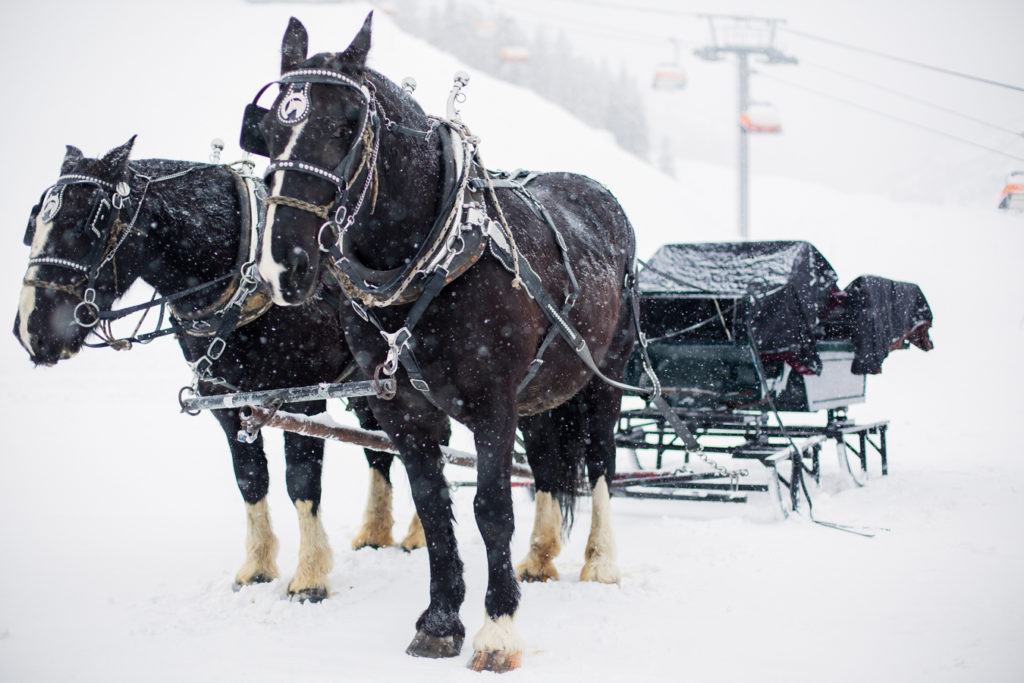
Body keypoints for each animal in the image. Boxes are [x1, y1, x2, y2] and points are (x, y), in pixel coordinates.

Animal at [16, 139, 432, 602]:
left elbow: (301, 483)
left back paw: (417, 533)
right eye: (35, 222)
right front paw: (257, 567)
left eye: (92, 220)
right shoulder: (227, 402)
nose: (32, 330)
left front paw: (309, 576)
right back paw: (376, 531)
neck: (248, 275)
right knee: (380, 448)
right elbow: (250, 480)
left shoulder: (300, 401)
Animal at [251, 17, 634, 671]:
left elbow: (491, 509)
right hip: (542, 392)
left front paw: (497, 629)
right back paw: (541, 556)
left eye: (345, 126)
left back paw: (600, 561)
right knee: (550, 462)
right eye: (273, 127)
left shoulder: (492, 405)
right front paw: (439, 620)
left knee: (601, 460)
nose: (285, 265)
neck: (438, 254)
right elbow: (433, 505)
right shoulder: (405, 412)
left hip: (607, 371)